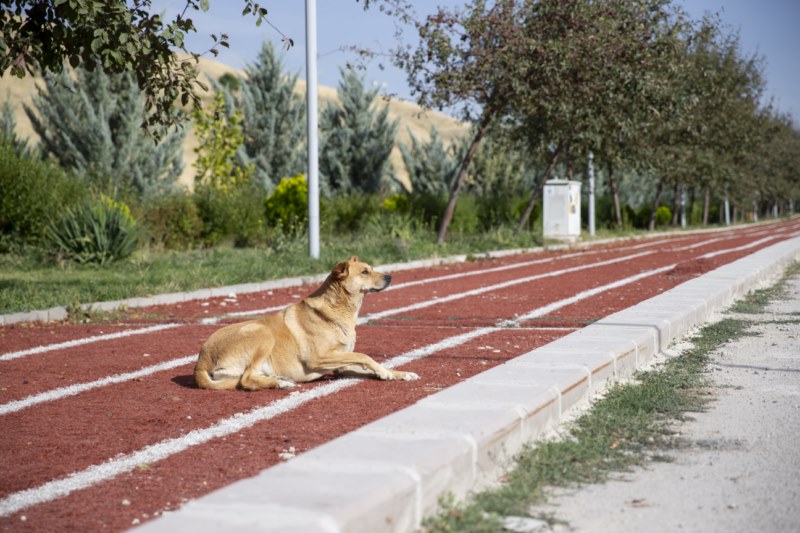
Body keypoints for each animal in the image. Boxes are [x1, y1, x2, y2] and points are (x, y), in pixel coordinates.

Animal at [194, 256, 418, 388]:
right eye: (365, 272)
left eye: (371, 268)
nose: (390, 277)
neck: (338, 309)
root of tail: (201, 360)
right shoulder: (319, 358)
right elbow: (365, 356)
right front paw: (386, 373)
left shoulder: (342, 364)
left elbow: (368, 363)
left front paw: (397, 373)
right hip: (262, 333)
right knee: (246, 379)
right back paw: (281, 384)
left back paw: (278, 379)